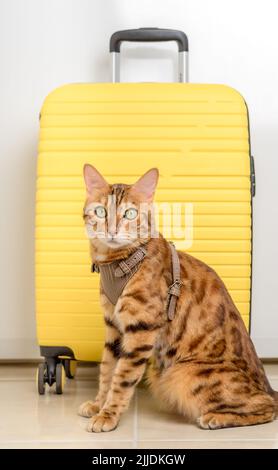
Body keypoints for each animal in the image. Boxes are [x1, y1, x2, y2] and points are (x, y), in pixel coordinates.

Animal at [78, 164, 278, 434]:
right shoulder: (113, 326)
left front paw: (108, 415)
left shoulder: (141, 329)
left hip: (183, 374)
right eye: (100, 211)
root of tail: (270, 387)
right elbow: (107, 370)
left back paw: (216, 418)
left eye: (130, 213)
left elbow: (122, 378)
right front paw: (98, 405)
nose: (112, 230)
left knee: (268, 407)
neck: (117, 263)